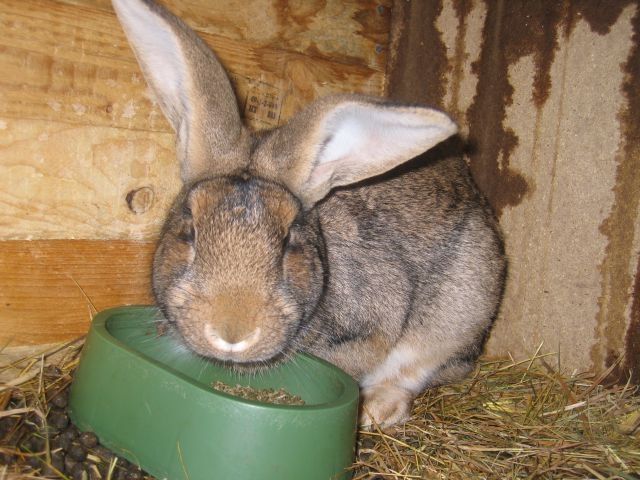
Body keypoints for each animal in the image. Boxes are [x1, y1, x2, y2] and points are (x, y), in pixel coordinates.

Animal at [112, 0, 506, 427]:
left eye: (289, 243)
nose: (232, 333)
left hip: (458, 313)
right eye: (189, 232)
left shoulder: (373, 327)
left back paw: (377, 410)